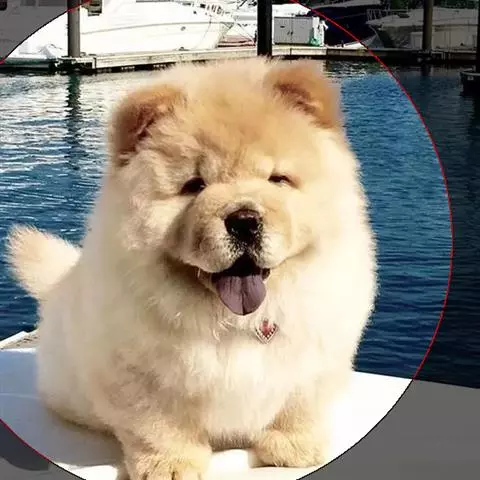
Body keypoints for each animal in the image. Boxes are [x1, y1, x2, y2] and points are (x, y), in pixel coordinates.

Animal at [7, 58, 376, 480]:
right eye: (194, 185)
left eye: (278, 179)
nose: (244, 220)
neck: (233, 320)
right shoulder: (140, 375)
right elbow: (159, 426)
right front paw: (169, 467)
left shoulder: (316, 356)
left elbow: (299, 406)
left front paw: (293, 451)